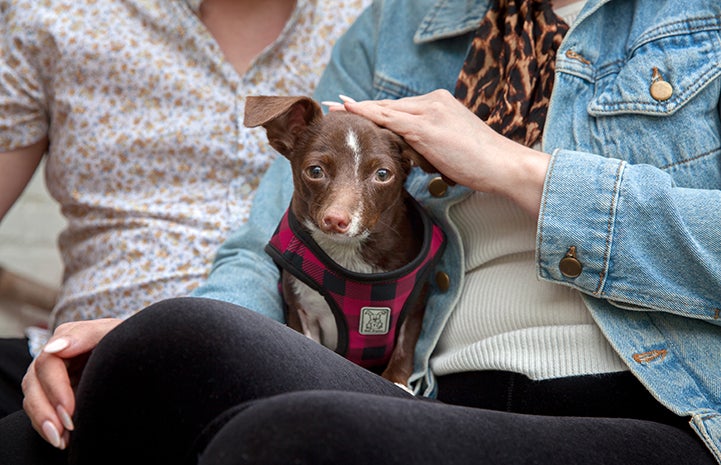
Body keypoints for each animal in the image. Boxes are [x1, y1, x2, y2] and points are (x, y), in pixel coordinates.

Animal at [245, 95, 442, 388]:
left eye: (382, 174)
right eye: (315, 170)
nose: (335, 219)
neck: (348, 254)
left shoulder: (416, 303)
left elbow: (405, 344)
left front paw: (396, 381)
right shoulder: (301, 311)